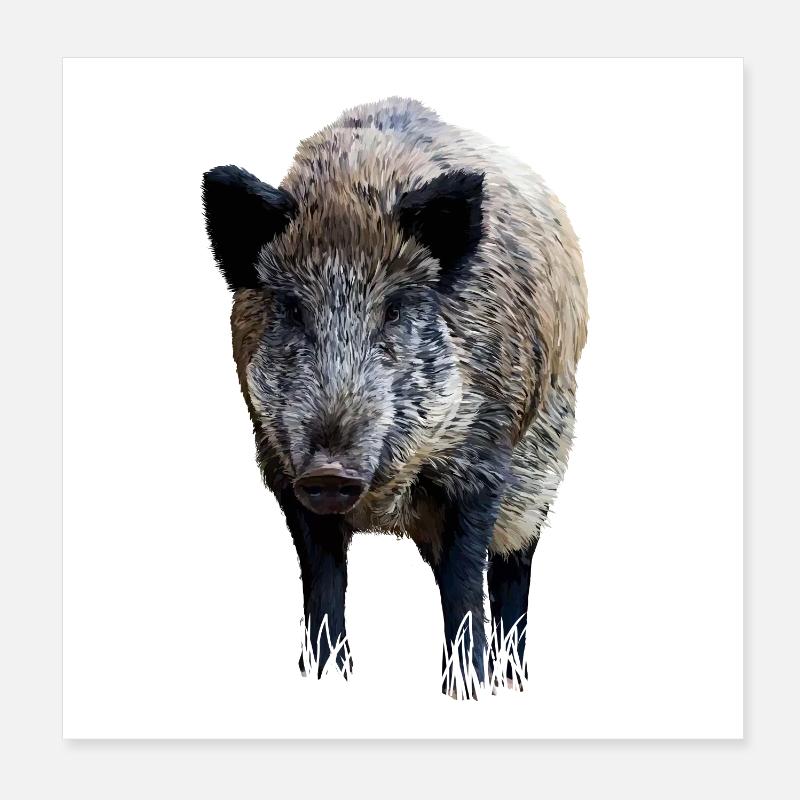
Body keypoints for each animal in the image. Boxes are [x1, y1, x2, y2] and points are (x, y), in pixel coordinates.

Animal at [202, 97, 588, 694]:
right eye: (292, 308)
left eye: (395, 308)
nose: (330, 471)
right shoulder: (282, 471)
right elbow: (323, 584)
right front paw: (325, 680)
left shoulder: (483, 461)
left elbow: (464, 585)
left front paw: (466, 691)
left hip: (544, 465)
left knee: (512, 572)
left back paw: (514, 682)